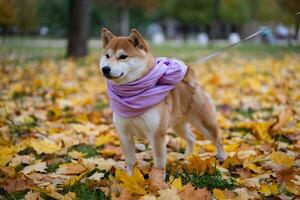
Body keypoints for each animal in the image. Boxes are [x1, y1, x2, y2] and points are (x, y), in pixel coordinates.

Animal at [99, 27, 226, 175]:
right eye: (107, 56)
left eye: (123, 56)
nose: (105, 69)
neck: (133, 95)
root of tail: (192, 83)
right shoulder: (125, 135)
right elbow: (130, 162)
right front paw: (129, 178)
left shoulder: (156, 135)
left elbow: (159, 164)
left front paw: (158, 180)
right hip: (178, 125)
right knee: (191, 138)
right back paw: (186, 157)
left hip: (204, 123)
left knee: (217, 139)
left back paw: (222, 157)